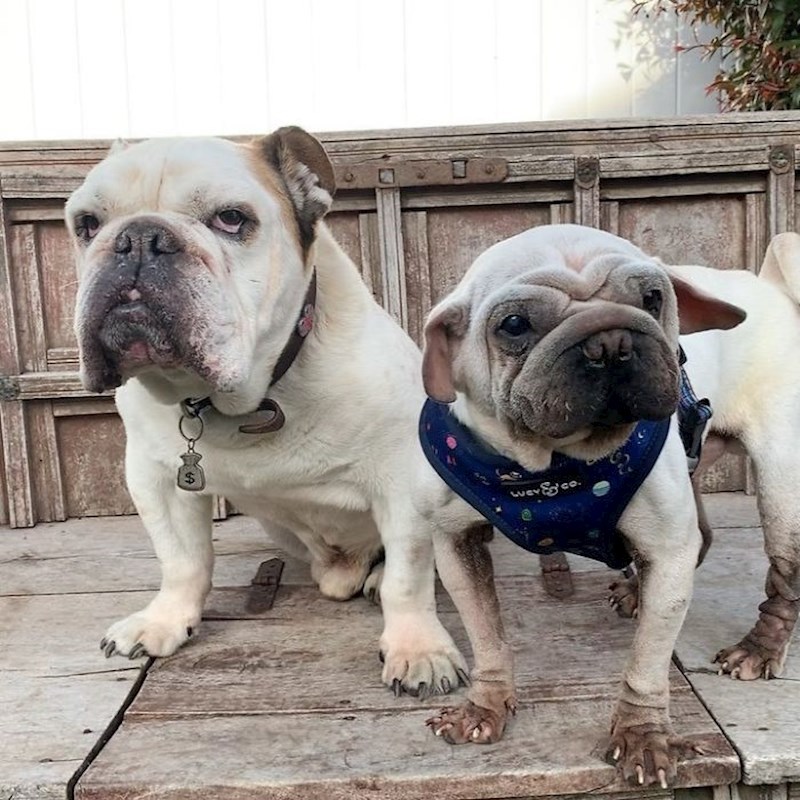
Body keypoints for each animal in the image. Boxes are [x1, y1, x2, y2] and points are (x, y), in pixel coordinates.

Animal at [65, 126, 467, 696]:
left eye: (232, 219)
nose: (138, 238)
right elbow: (181, 559)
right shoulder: (153, 477)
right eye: (87, 224)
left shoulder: (403, 478)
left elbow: (408, 577)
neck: (251, 395)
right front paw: (165, 620)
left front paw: (419, 649)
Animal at [416, 224, 745, 787]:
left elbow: (647, 662)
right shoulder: (457, 545)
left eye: (652, 298)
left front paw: (642, 737)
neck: (552, 468)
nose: (610, 341)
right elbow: (486, 636)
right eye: (514, 325)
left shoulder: (667, 550)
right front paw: (485, 707)